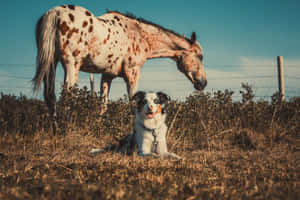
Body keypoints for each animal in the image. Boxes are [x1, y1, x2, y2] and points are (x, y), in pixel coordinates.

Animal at [32, 4, 206, 131]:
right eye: (200, 56)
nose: (203, 83)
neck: (140, 35)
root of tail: (55, 13)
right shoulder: (132, 73)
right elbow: (133, 101)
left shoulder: (107, 76)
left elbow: (103, 105)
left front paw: (99, 127)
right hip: (72, 65)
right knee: (67, 95)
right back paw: (66, 128)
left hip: (52, 64)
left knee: (50, 96)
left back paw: (56, 129)